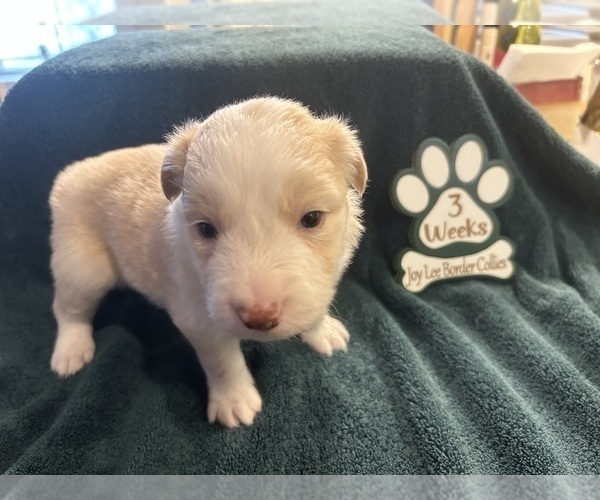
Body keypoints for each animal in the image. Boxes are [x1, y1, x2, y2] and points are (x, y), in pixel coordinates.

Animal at [49, 95, 368, 428]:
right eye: (205, 229)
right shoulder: (199, 314)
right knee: (68, 308)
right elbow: (222, 360)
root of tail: (72, 172)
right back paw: (71, 351)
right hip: (83, 266)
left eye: (312, 218)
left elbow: (317, 302)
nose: (259, 317)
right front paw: (234, 400)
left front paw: (322, 330)